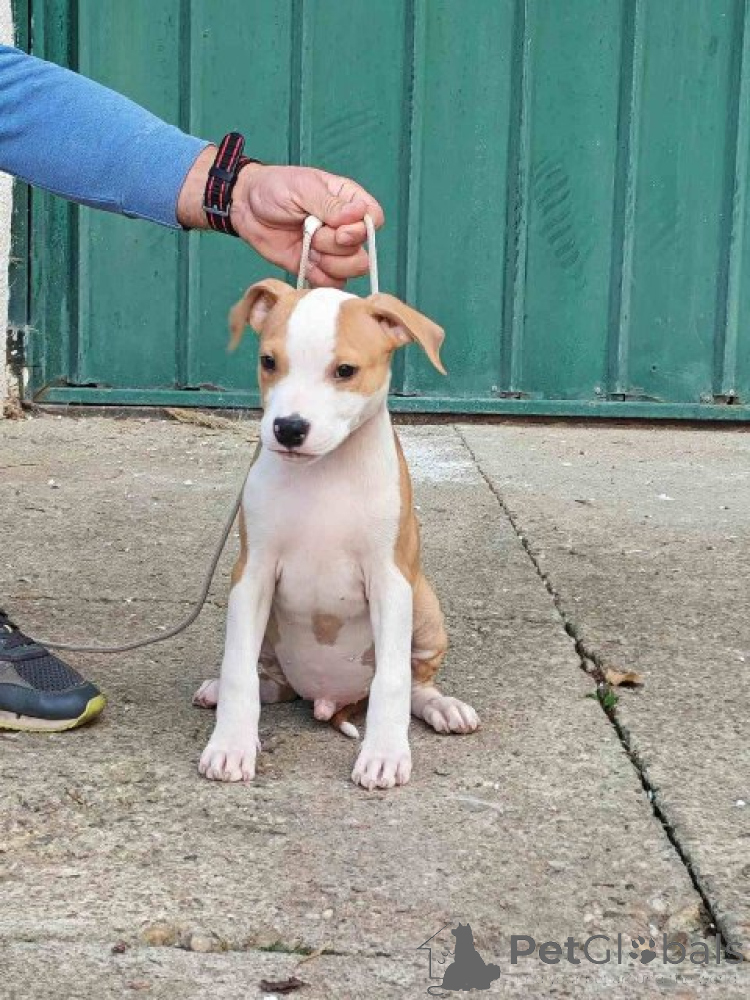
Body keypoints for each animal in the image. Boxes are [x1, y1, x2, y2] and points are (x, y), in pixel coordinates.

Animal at [193, 279, 479, 789]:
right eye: (269, 361)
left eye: (345, 370)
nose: (288, 428)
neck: (324, 472)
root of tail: (329, 701)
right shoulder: (252, 574)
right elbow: (238, 668)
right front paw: (229, 746)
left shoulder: (390, 580)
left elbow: (392, 681)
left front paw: (384, 755)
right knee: (269, 681)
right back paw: (219, 690)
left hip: (424, 605)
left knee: (415, 683)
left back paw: (443, 707)